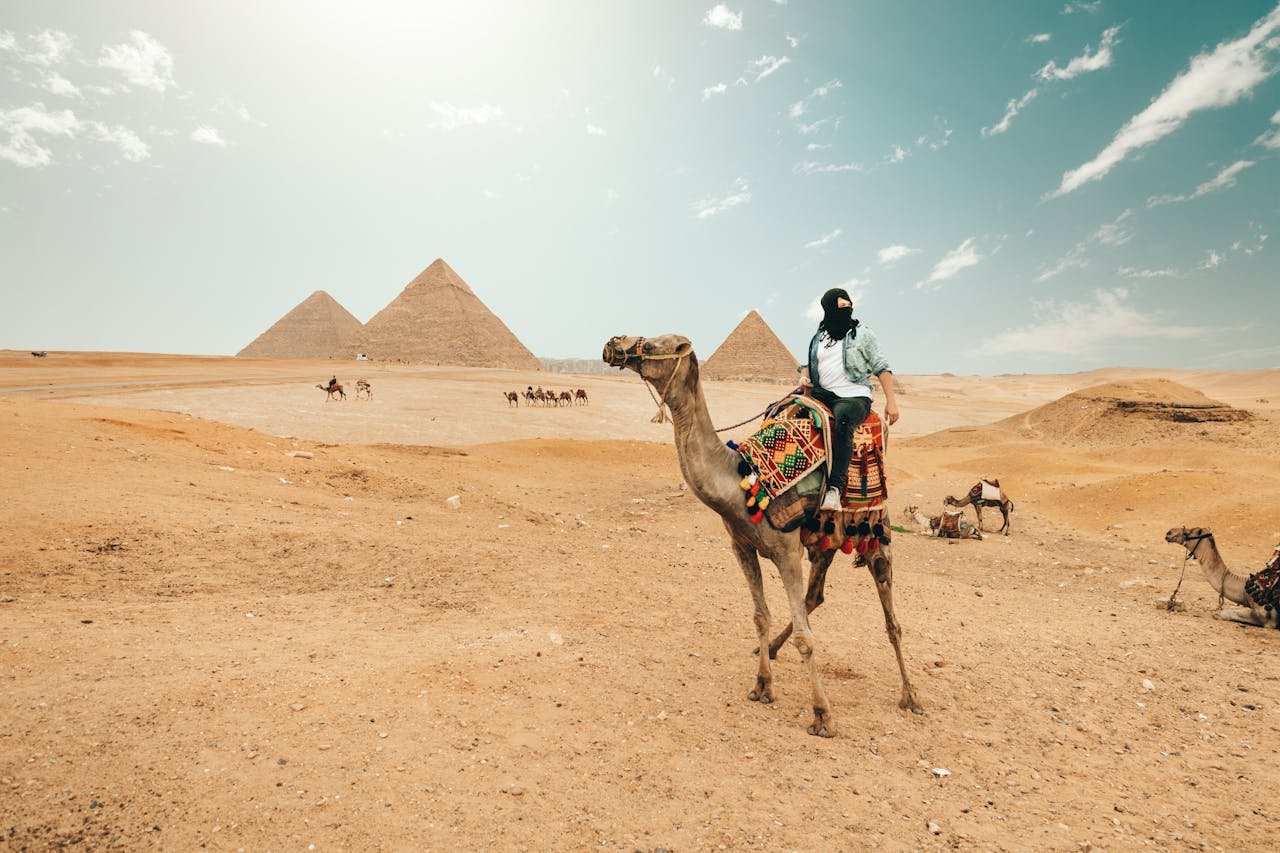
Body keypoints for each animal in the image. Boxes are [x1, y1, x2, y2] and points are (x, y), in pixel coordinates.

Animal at [604, 330, 926, 732]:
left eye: (652, 344)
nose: (613, 345)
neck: (741, 479)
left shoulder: (786, 550)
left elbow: (806, 638)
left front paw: (822, 715)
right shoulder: (742, 546)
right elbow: (760, 616)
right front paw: (762, 685)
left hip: (875, 533)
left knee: (891, 619)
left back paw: (911, 697)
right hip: (824, 539)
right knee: (815, 595)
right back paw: (770, 648)